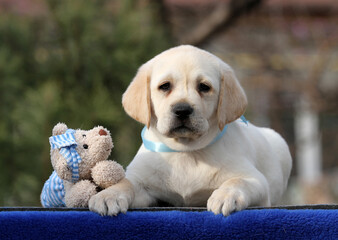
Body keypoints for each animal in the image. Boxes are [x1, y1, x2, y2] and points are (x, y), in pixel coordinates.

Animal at [90, 44, 294, 216]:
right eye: (165, 86)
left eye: (204, 87)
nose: (182, 110)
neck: (186, 152)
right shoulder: (140, 181)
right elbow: (125, 183)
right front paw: (108, 195)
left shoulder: (256, 180)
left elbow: (237, 181)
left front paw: (225, 196)